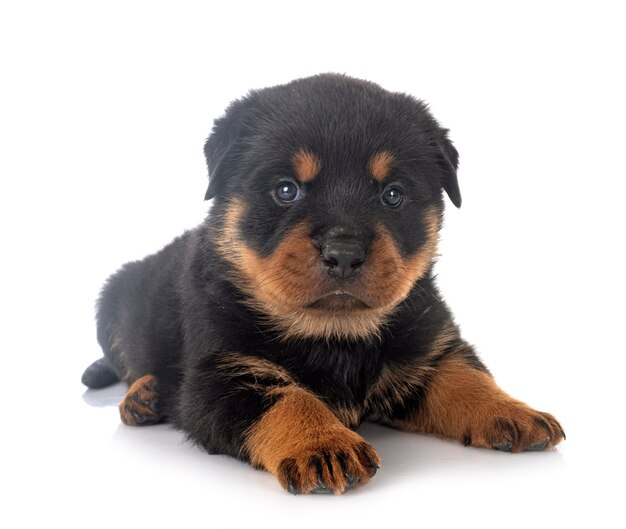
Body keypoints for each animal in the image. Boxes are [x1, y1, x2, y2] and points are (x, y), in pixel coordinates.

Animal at [80, 74, 564, 496]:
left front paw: (512, 410)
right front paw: (322, 443)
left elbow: (465, 376)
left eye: (393, 194)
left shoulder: (428, 349)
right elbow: (286, 398)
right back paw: (142, 397)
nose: (344, 253)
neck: (336, 334)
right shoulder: (220, 377)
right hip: (112, 303)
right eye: (286, 190)